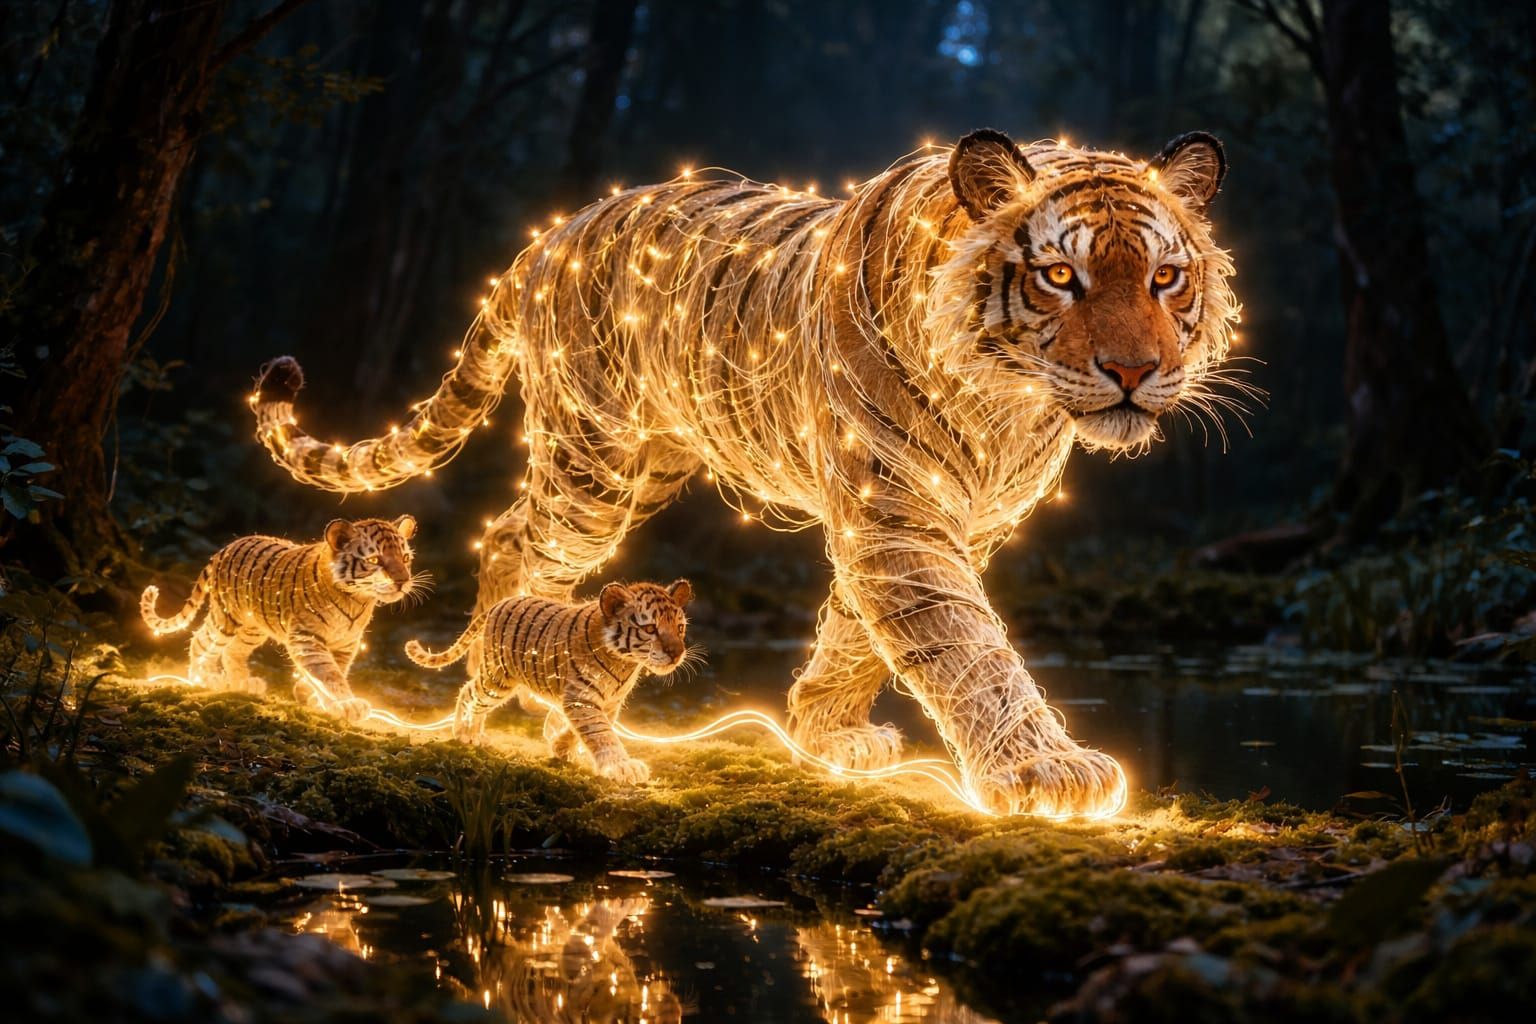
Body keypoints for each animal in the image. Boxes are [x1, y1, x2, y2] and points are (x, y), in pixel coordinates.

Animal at [140, 516, 423, 721]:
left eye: (405, 557)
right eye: (375, 559)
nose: (402, 581)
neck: (357, 600)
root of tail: (224, 548)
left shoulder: (346, 643)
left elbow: (335, 671)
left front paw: (317, 699)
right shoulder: (307, 639)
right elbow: (328, 674)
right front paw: (347, 704)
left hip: (253, 627)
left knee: (232, 651)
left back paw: (243, 683)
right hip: (226, 618)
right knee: (201, 639)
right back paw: (203, 678)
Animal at [404, 579, 693, 782]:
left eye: (679, 628)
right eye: (650, 628)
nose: (676, 653)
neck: (626, 662)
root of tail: (501, 602)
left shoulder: (608, 702)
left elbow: (582, 729)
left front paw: (562, 748)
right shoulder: (582, 698)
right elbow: (600, 733)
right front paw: (622, 767)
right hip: (498, 679)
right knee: (469, 692)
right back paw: (466, 734)